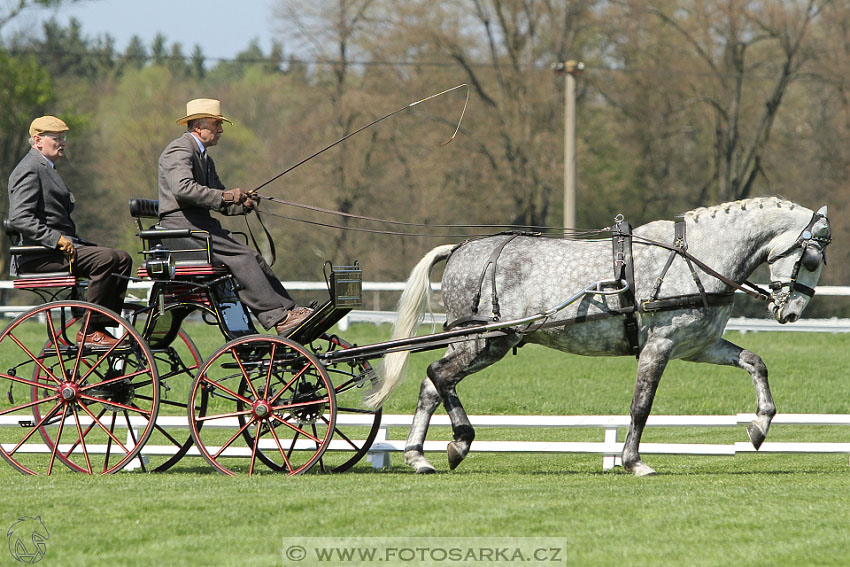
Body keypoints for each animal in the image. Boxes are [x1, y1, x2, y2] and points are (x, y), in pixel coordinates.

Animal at [362, 197, 828, 478]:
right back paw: (459, 442)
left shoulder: (697, 347)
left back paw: (419, 456)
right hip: (484, 341)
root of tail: (460, 248)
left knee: (432, 384)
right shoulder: (659, 346)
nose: (789, 312)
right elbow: (641, 407)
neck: (694, 257)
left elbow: (754, 362)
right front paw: (634, 462)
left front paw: (759, 426)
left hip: (480, 343)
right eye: (811, 259)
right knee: (439, 375)